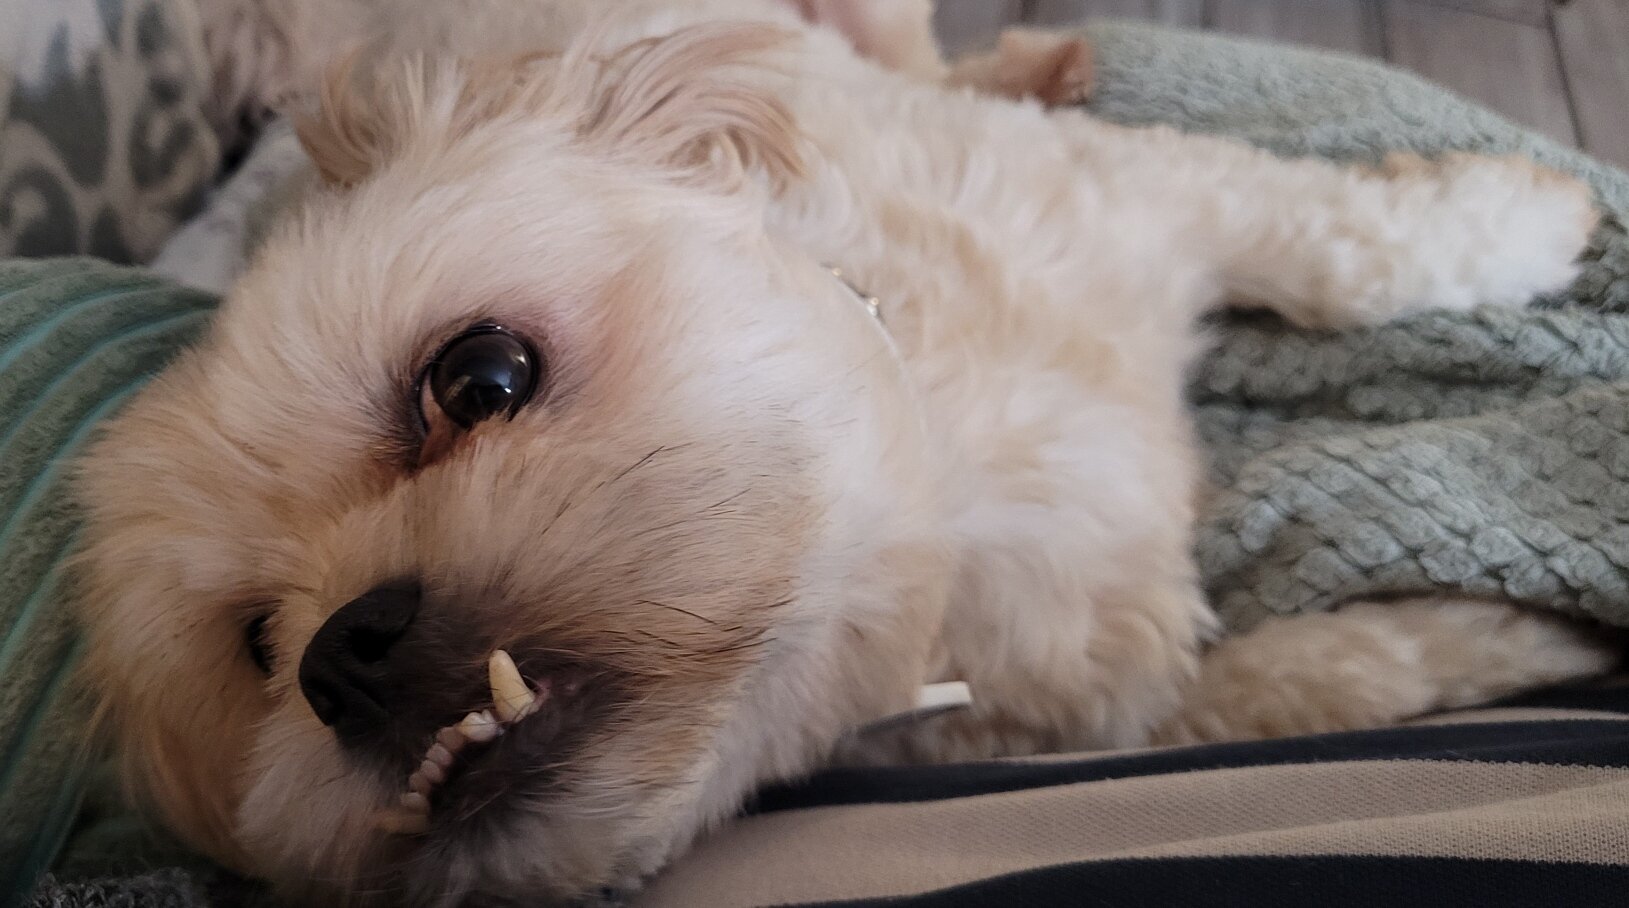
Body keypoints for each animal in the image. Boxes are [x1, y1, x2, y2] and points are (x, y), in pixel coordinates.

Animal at [71, 1, 1616, 905]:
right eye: (257, 648)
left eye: (480, 374)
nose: (347, 654)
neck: (941, 483)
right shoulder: (1115, 698)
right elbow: (1328, 674)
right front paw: (1511, 640)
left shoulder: (1150, 195)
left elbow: (1346, 249)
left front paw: (1528, 226)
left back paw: (1049, 58)